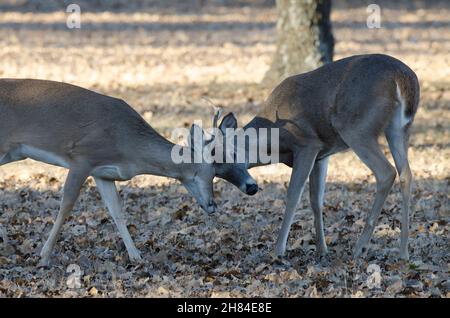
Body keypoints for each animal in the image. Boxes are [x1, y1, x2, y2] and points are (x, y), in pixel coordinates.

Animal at [0, 78, 218, 264]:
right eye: (207, 174)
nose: (212, 205)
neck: (128, 146)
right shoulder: (82, 157)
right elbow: (67, 205)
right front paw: (44, 256)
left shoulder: (103, 173)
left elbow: (116, 210)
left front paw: (136, 256)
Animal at [216, 54, 420, 258]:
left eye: (230, 154)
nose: (250, 188)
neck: (273, 144)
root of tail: (401, 77)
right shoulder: (322, 156)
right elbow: (316, 200)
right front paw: (322, 249)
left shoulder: (308, 144)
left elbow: (293, 195)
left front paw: (278, 250)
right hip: (399, 128)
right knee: (406, 174)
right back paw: (403, 252)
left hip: (355, 127)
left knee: (386, 172)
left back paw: (360, 247)